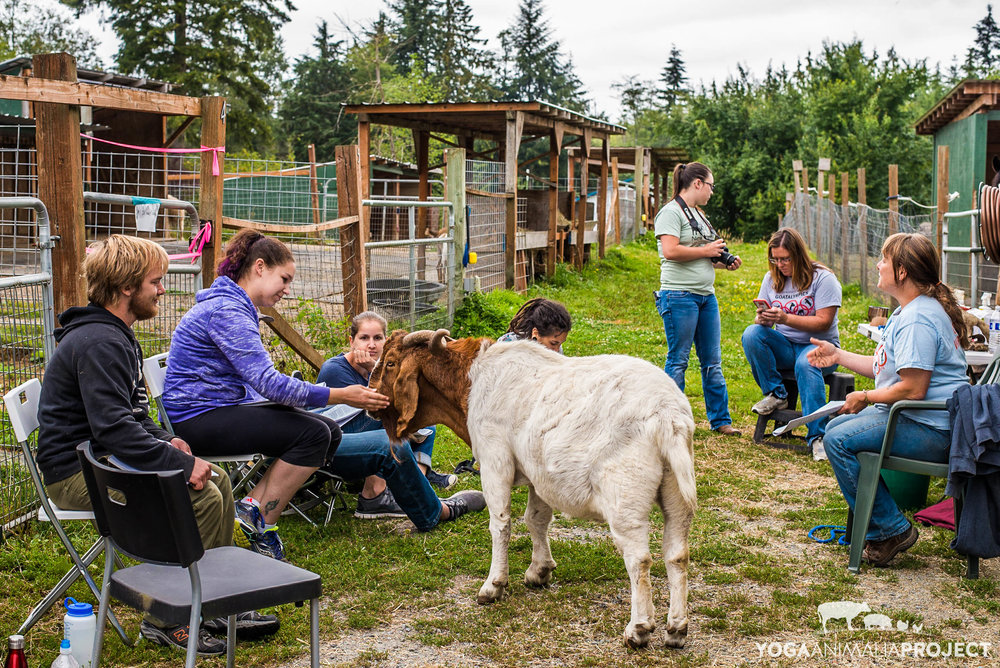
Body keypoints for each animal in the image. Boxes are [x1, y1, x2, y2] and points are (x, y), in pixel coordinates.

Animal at [368, 328, 696, 648]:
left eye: (390, 363)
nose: (371, 399)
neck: (472, 380)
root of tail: (668, 415)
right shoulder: (539, 474)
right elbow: (536, 519)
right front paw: (539, 570)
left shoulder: (494, 460)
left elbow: (500, 523)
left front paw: (493, 585)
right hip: (676, 494)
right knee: (677, 554)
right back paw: (676, 628)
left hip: (625, 498)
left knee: (639, 559)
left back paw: (638, 628)